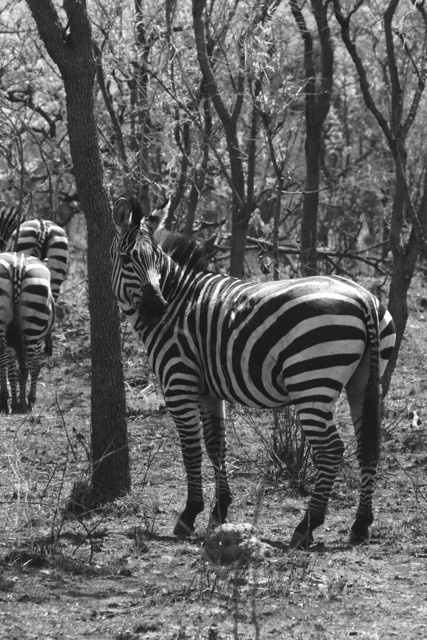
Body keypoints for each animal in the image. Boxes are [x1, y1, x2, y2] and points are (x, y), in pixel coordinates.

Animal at [0, 252, 55, 414]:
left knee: (3, 358)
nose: (49, 350)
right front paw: (27, 399)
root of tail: (17, 264)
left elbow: (12, 371)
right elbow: (34, 367)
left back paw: (4, 401)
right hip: (33, 327)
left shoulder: (11, 341)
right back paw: (26, 403)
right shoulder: (38, 341)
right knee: (30, 366)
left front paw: (14, 401)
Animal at [111, 196, 396, 550]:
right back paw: (360, 525)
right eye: (127, 259)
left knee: (332, 449)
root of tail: (362, 296)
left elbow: (191, 447)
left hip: (311, 382)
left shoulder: (178, 381)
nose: (157, 309)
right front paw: (219, 510)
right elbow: (215, 445)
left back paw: (306, 527)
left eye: (157, 262)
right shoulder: (208, 389)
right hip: (364, 381)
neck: (178, 299)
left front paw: (190, 514)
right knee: (367, 447)